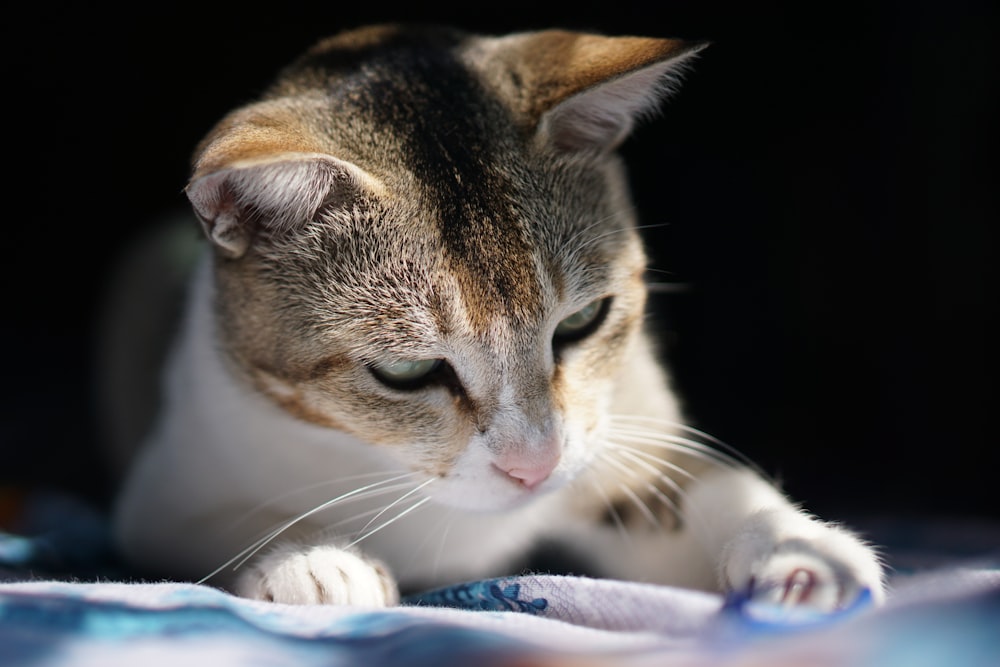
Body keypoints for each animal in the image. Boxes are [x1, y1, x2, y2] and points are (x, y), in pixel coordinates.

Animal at [109, 23, 884, 612]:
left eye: (582, 321)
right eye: (405, 369)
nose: (534, 468)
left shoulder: (624, 438)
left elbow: (698, 488)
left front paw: (803, 553)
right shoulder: (164, 491)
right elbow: (221, 525)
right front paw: (314, 562)